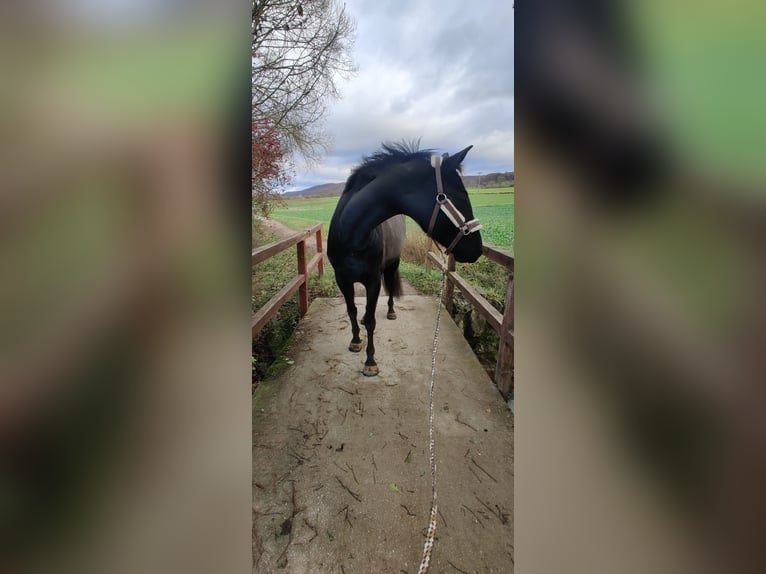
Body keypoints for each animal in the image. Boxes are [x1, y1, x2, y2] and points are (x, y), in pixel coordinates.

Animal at [328, 142, 484, 378]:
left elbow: (372, 320)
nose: (478, 248)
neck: (349, 234)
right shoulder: (342, 279)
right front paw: (355, 341)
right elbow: (352, 311)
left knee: (391, 289)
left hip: (392, 266)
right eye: (460, 195)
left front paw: (370, 362)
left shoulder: (373, 280)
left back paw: (391, 312)